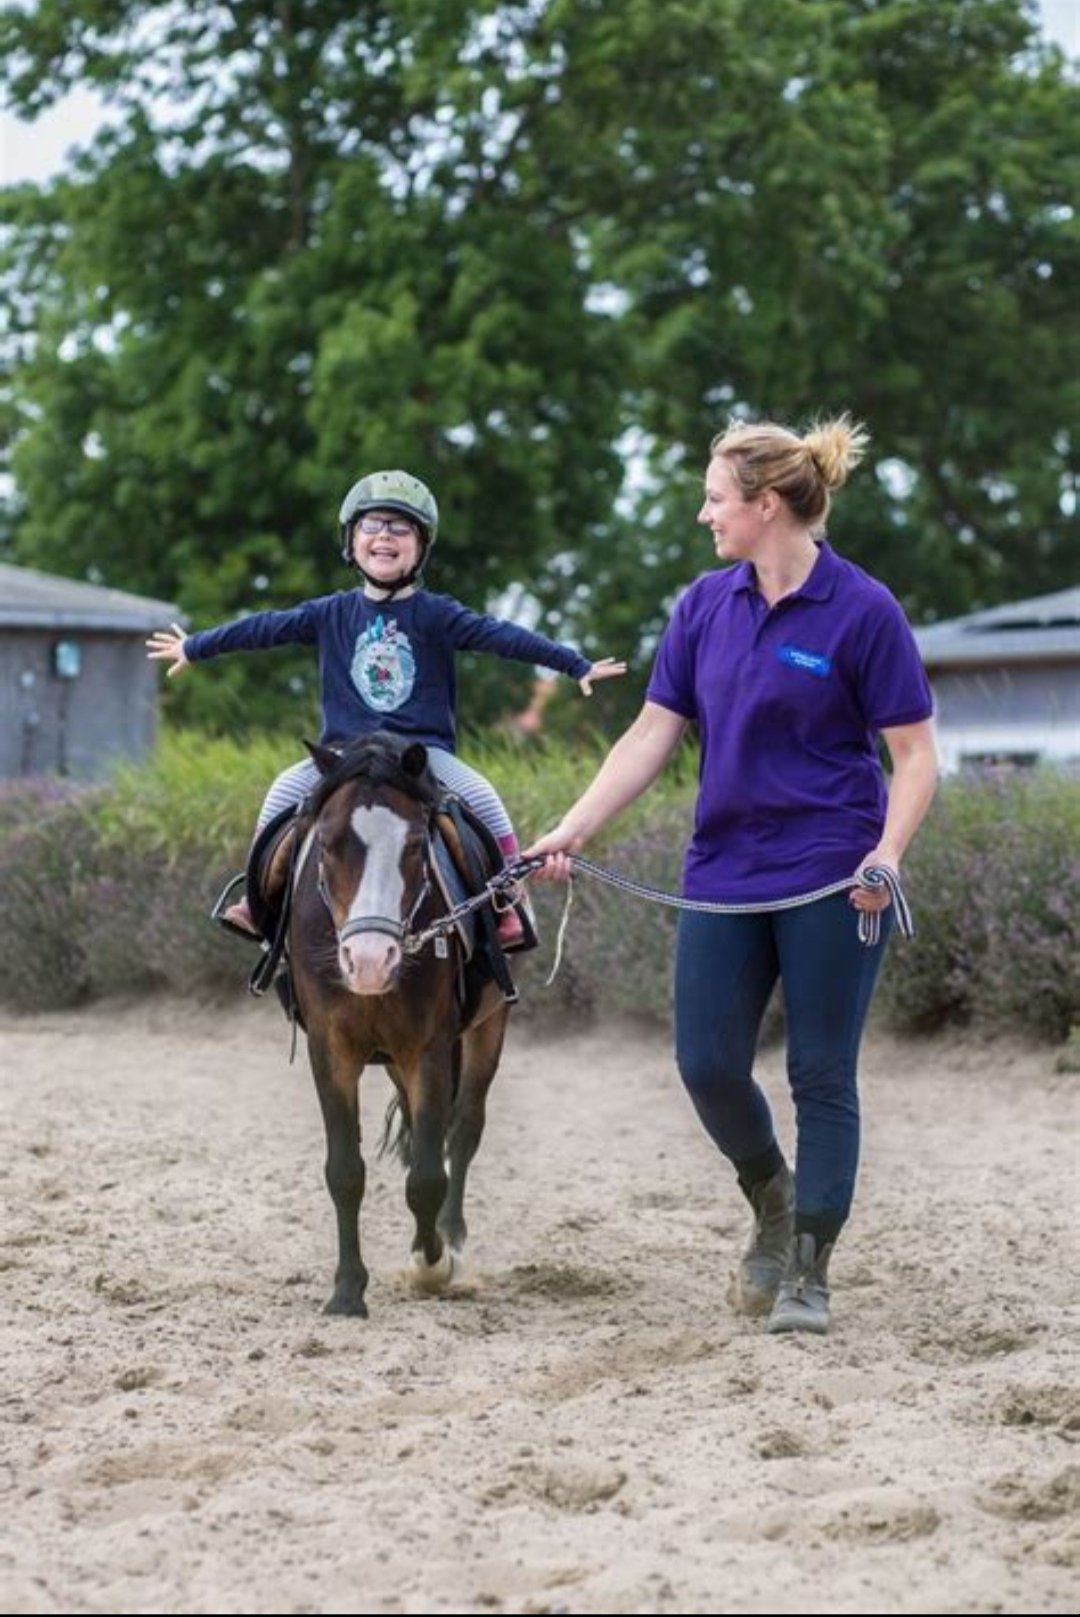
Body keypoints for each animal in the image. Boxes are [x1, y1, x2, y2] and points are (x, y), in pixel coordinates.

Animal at [285, 732, 512, 1317]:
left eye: (413, 846)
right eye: (328, 844)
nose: (369, 961)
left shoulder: (427, 1048)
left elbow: (428, 1176)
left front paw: (432, 1264)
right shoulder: (332, 1049)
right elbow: (345, 1171)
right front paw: (347, 1292)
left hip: (488, 1027)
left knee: (464, 1127)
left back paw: (448, 1236)